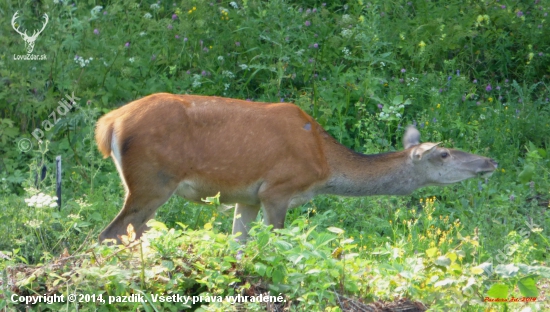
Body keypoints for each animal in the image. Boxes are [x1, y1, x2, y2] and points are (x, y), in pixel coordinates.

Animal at [96, 94, 500, 243]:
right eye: (443, 154)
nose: (490, 161)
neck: (326, 165)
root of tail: (110, 123)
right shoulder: (278, 189)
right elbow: (277, 244)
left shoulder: (248, 197)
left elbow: (238, 246)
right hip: (152, 180)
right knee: (111, 233)